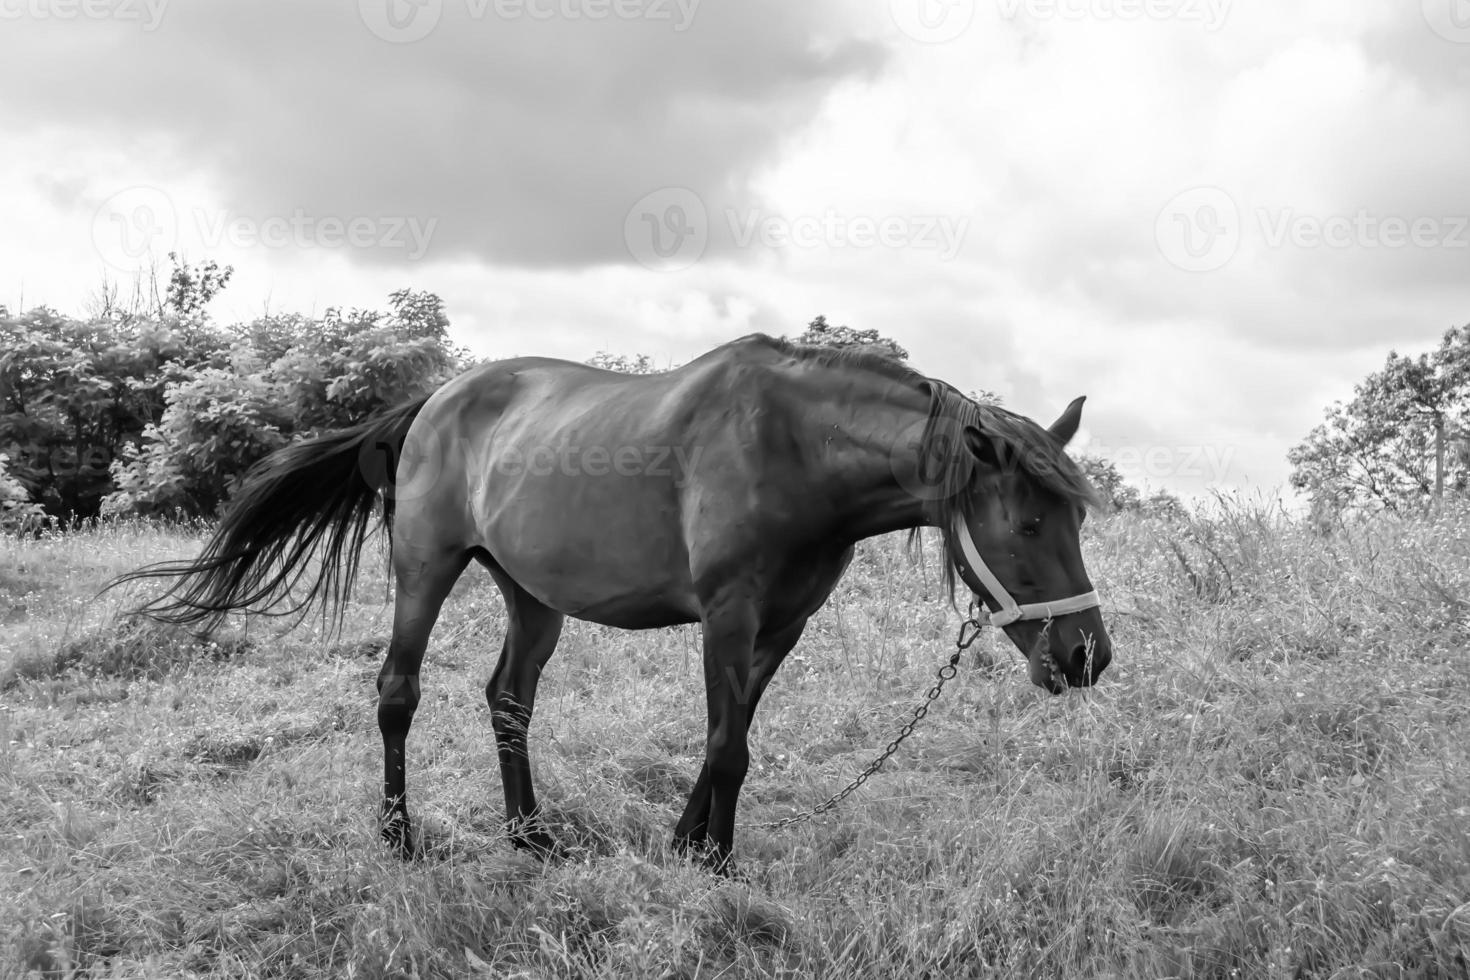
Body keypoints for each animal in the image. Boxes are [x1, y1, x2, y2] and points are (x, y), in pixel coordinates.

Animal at [108, 333, 1105, 869]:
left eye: (1077, 516)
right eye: (1026, 523)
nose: (1087, 655)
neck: (792, 447)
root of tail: (432, 402)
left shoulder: (781, 626)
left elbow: (730, 737)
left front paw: (687, 845)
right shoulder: (729, 616)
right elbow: (728, 746)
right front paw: (718, 866)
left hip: (531, 596)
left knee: (509, 700)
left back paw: (530, 836)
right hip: (425, 569)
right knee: (397, 693)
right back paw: (398, 837)